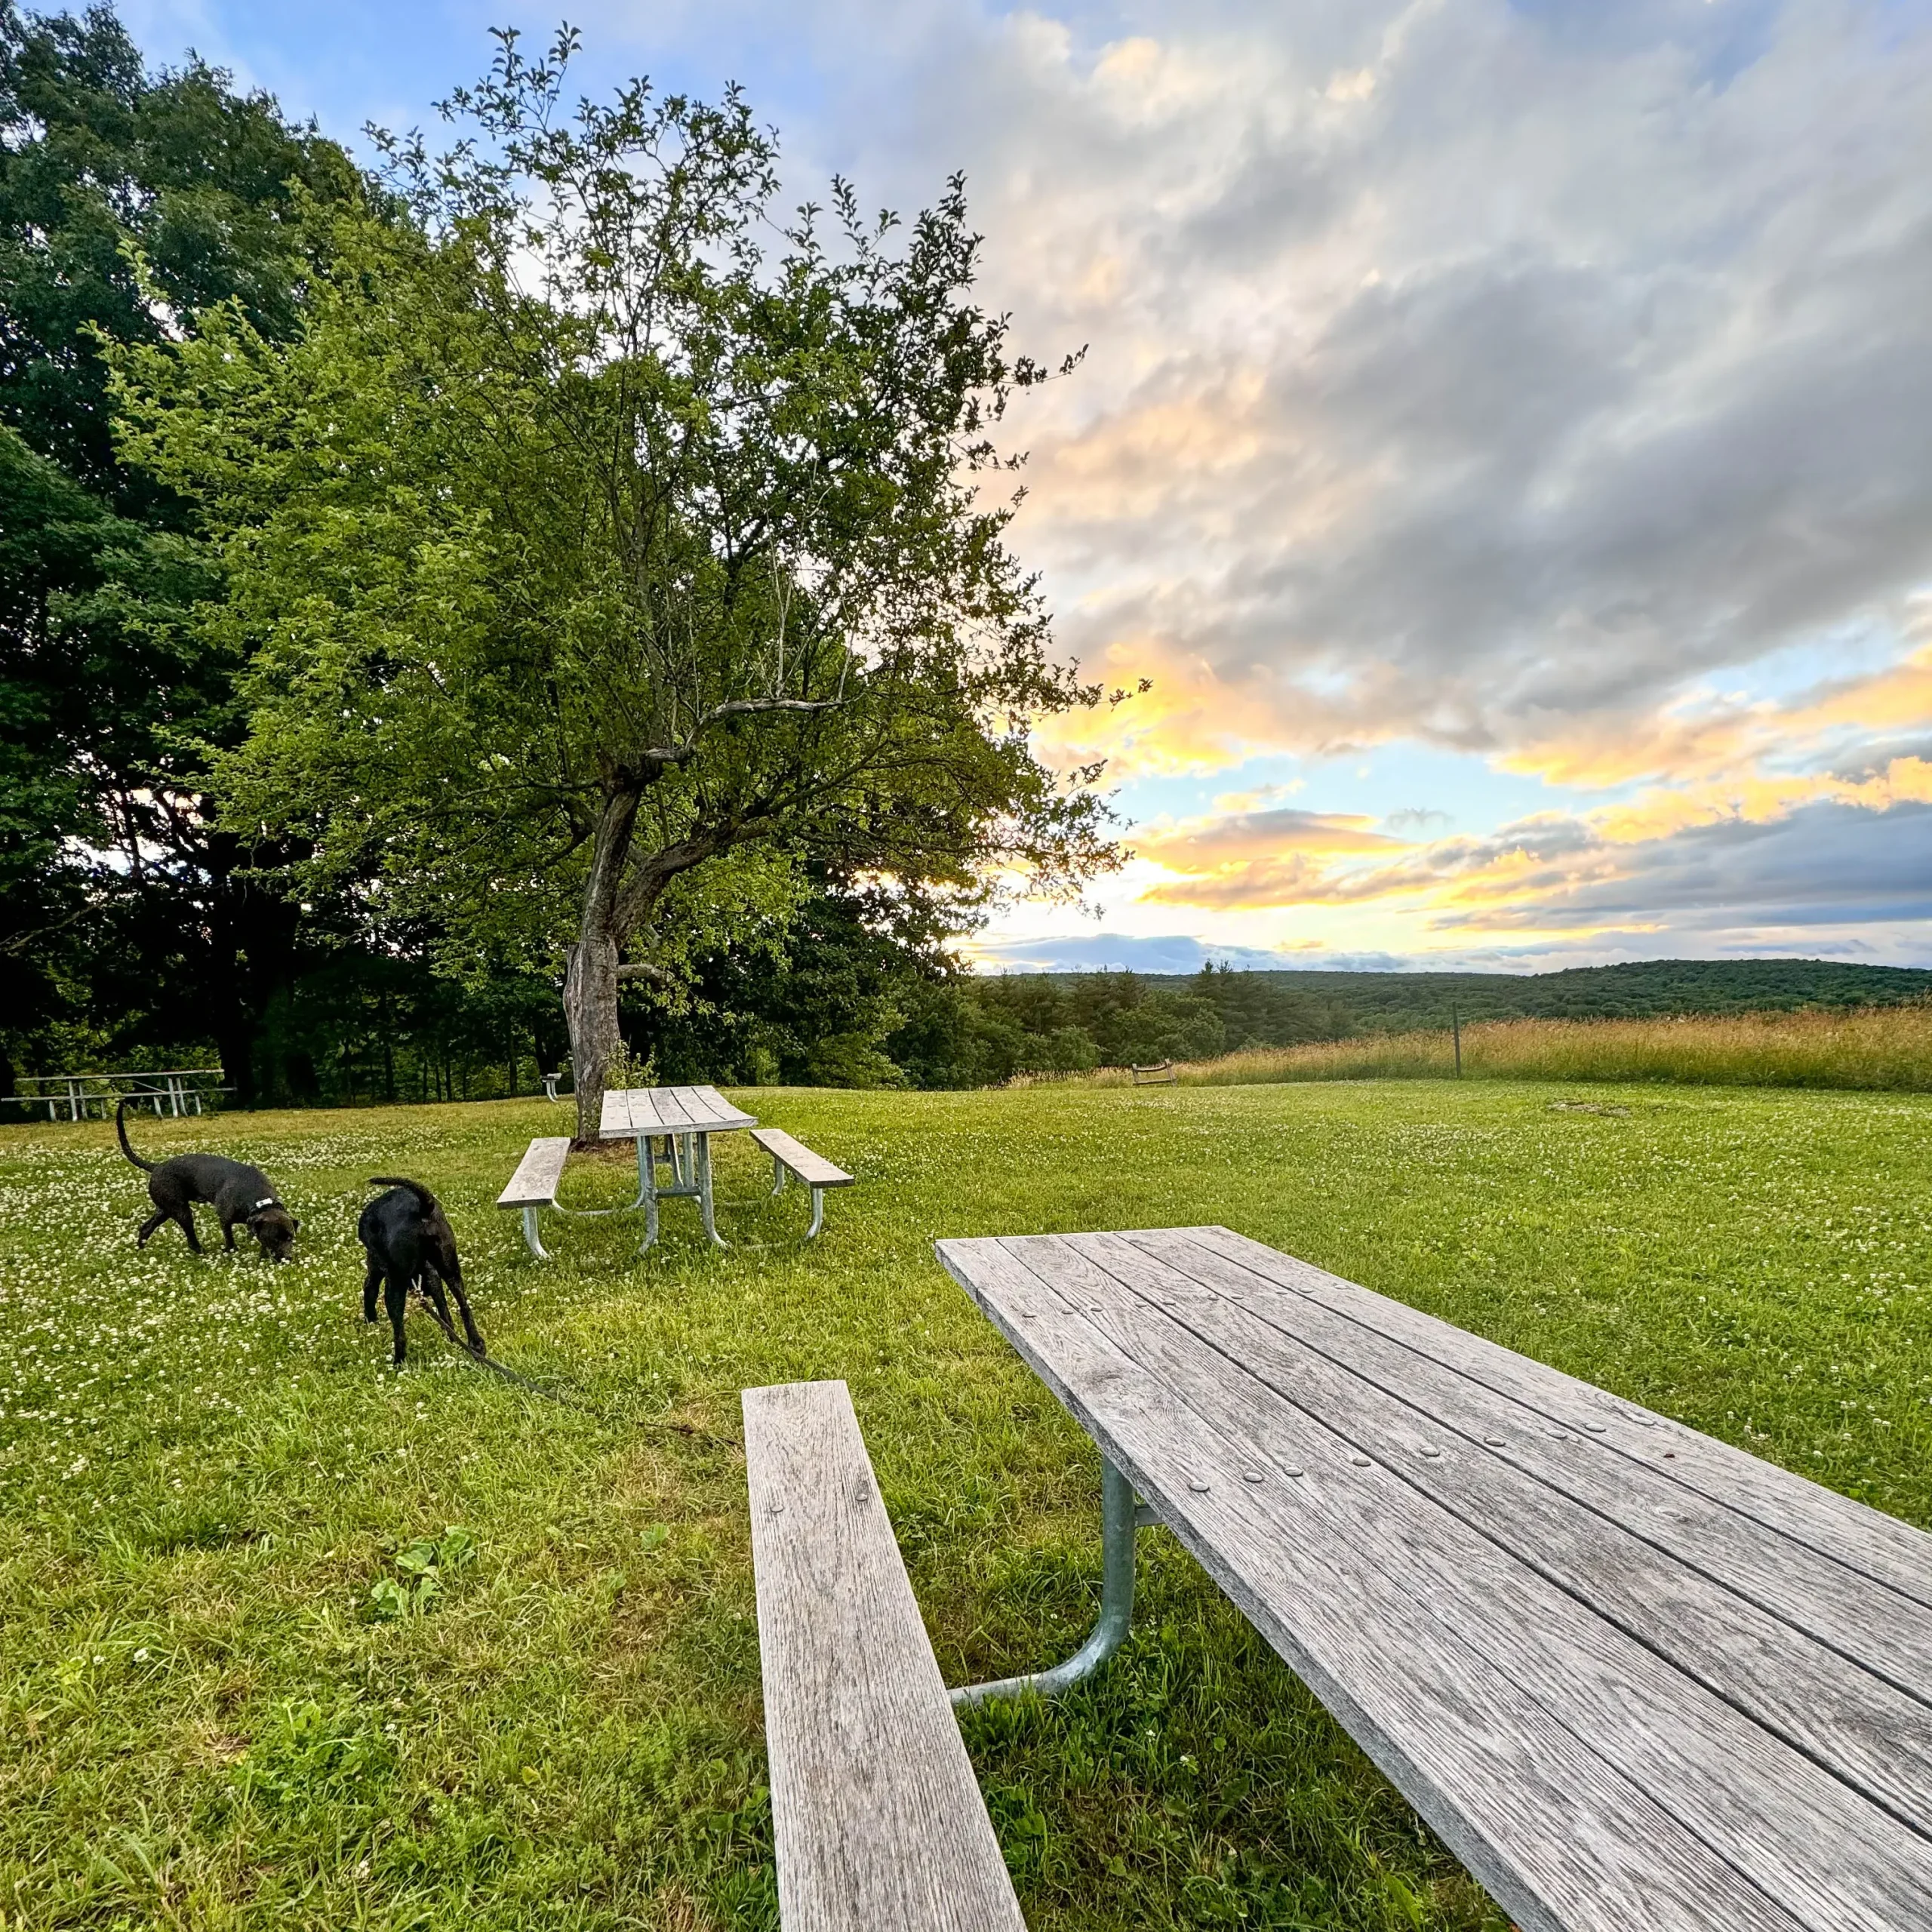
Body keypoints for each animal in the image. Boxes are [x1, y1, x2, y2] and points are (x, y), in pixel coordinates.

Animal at [118, 1097, 299, 1260]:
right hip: (181, 1210)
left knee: (146, 1228)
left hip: (164, 1209)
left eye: (290, 1237)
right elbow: (229, 1238)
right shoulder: (225, 1219)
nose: (288, 1258)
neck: (259, 1199)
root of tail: (156, 1166)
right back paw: (201, 1252)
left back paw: (141, 1250)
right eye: (274, 1239)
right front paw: (231, 1251)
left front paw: (262, 1256)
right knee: (190, 1238)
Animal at [359, 1174, 487, 1375]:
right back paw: (476, 1344)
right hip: (450, 1267)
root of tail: (423, 1208)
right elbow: (446, 1315)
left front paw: (371, 1322)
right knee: (464, 1306)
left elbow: (369, 1291)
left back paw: (398, 1362)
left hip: (395, 1283)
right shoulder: (433, 1277)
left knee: (399, 1332)